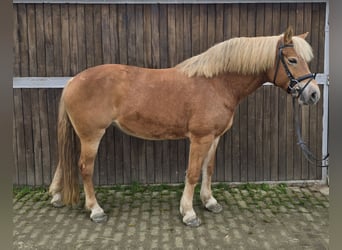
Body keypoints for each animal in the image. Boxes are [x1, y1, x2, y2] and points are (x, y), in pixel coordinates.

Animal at [48, 26, 320, 227]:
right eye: (293, 60)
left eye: (306, 60)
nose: (314, 94)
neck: (217, 83)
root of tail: (73, 81)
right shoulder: (200, 138)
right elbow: (192, 173)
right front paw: (189, 213)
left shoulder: (214, 137)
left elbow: (208, 169)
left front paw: (209, 202)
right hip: (91, 136)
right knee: (84, 169)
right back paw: (95, 210)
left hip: (81, 134)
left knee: (63, 162)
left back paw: (57, 196)